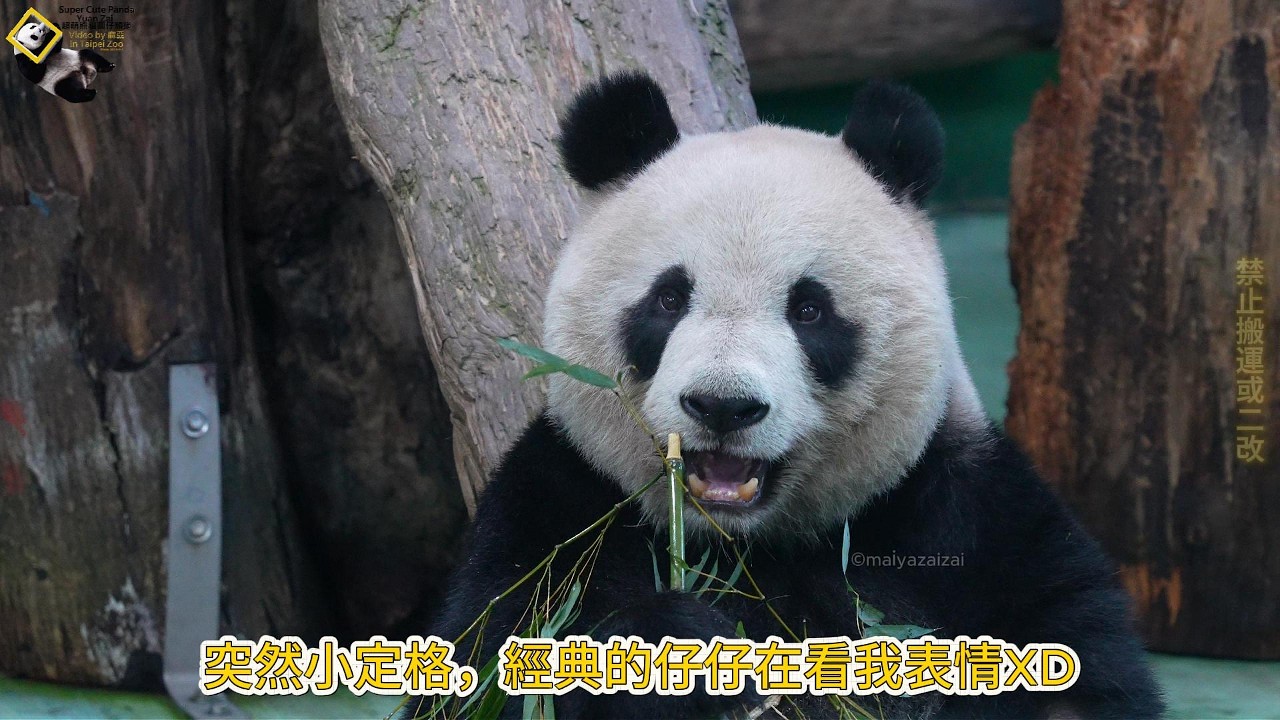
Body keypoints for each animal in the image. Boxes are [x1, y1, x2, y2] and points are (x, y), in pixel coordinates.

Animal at [414, 72, 1164, 719]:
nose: (723, 405)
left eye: (809, 310)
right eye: (668, 298)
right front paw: (678, 652)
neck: (744, 544)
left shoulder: (967, 520)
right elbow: (491, 666)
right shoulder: (561, 507)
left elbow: (1076, 672)